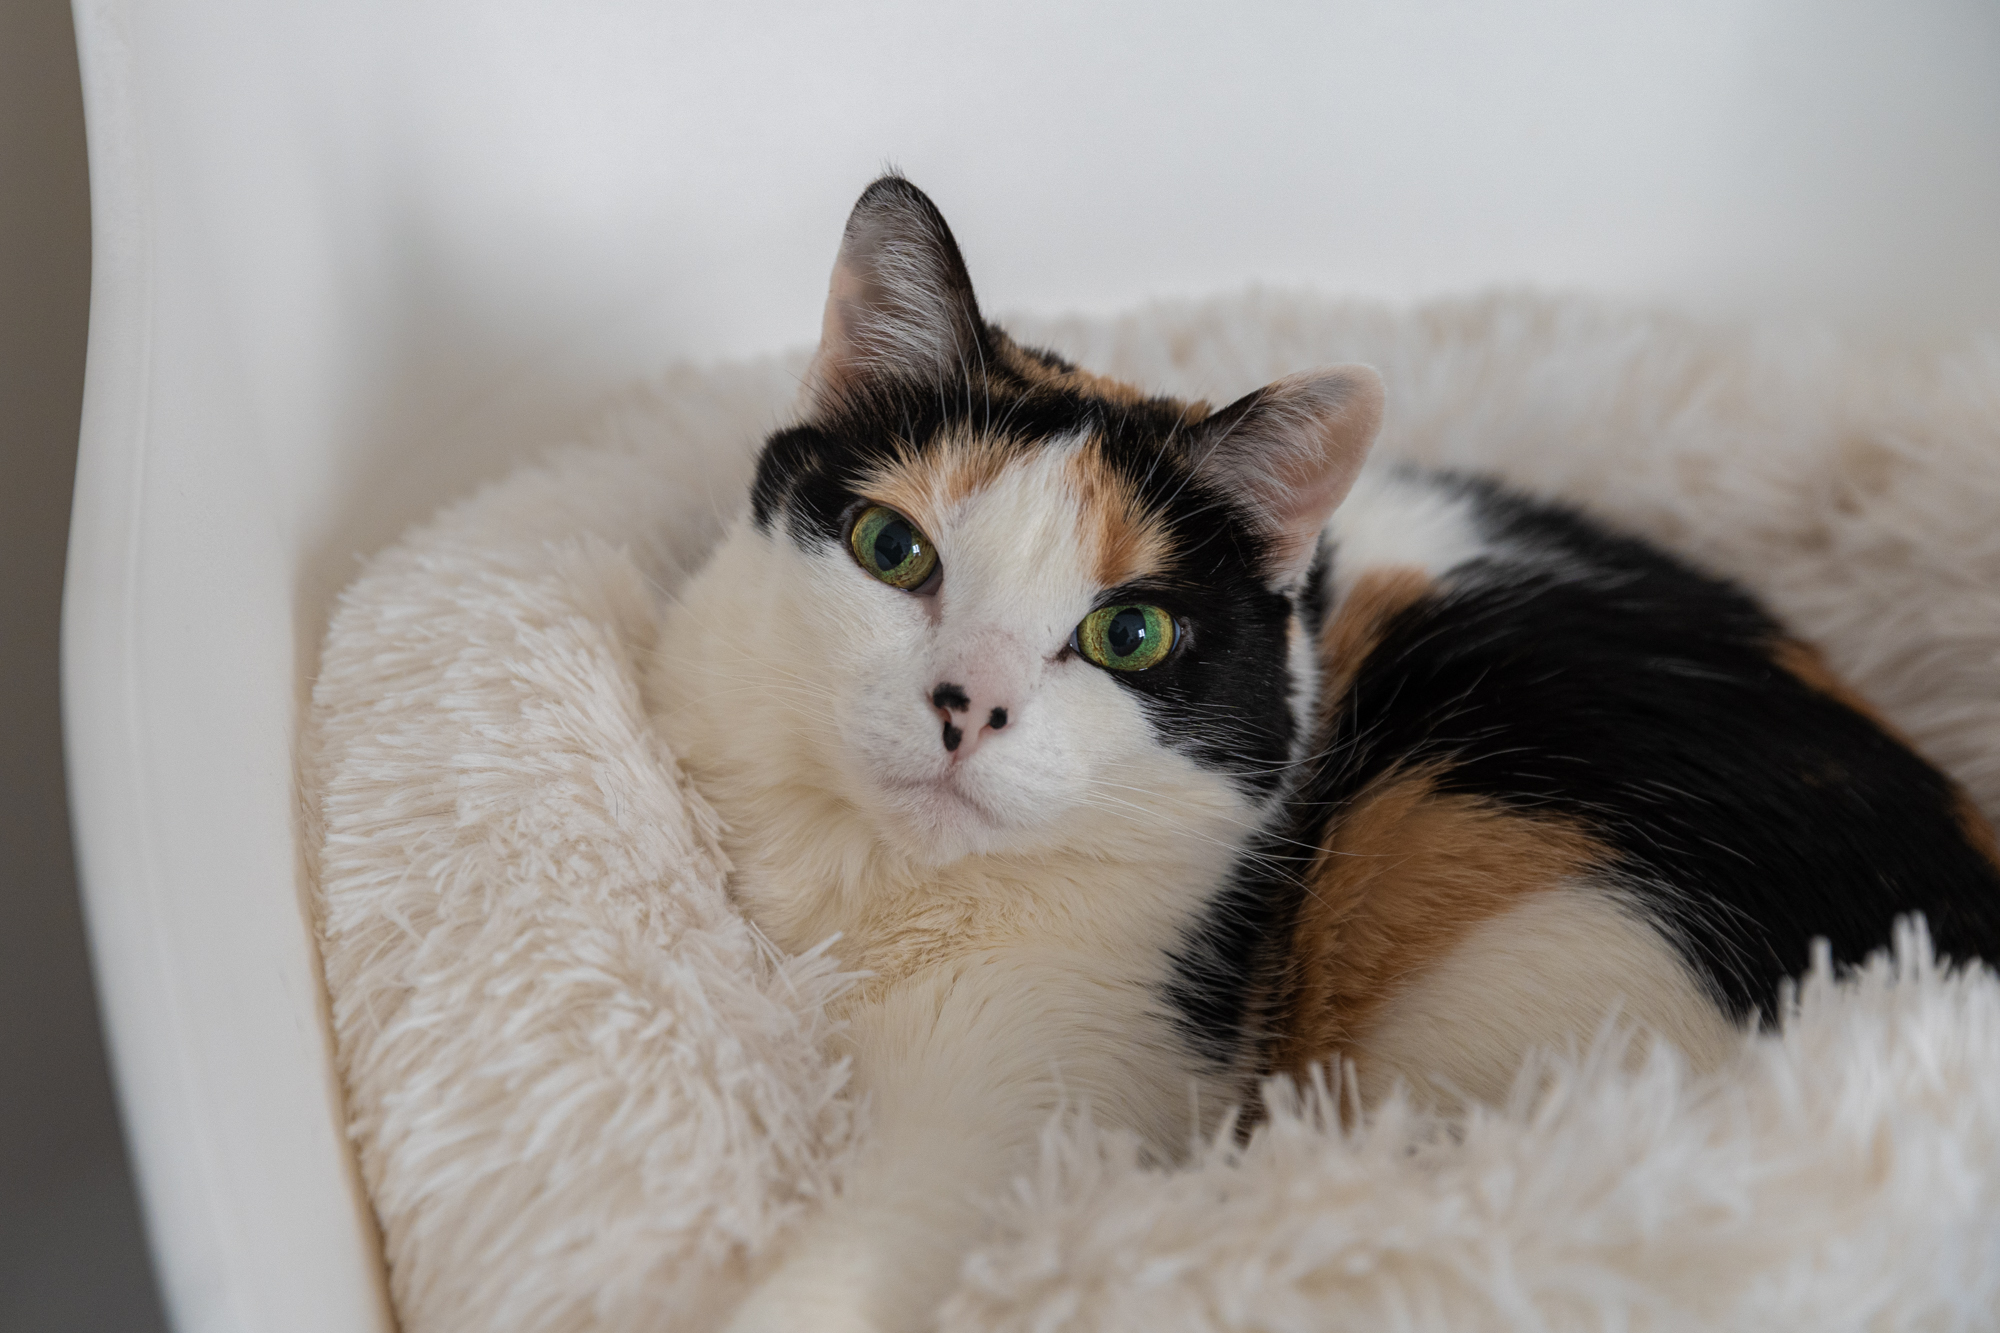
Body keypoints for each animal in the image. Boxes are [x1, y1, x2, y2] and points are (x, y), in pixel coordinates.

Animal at [647, 175, 2000, 1332]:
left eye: (1128, 633)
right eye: (892, 549)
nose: (964, 702)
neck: (878, 890)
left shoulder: (1053, 1084)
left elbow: (875, 1246)